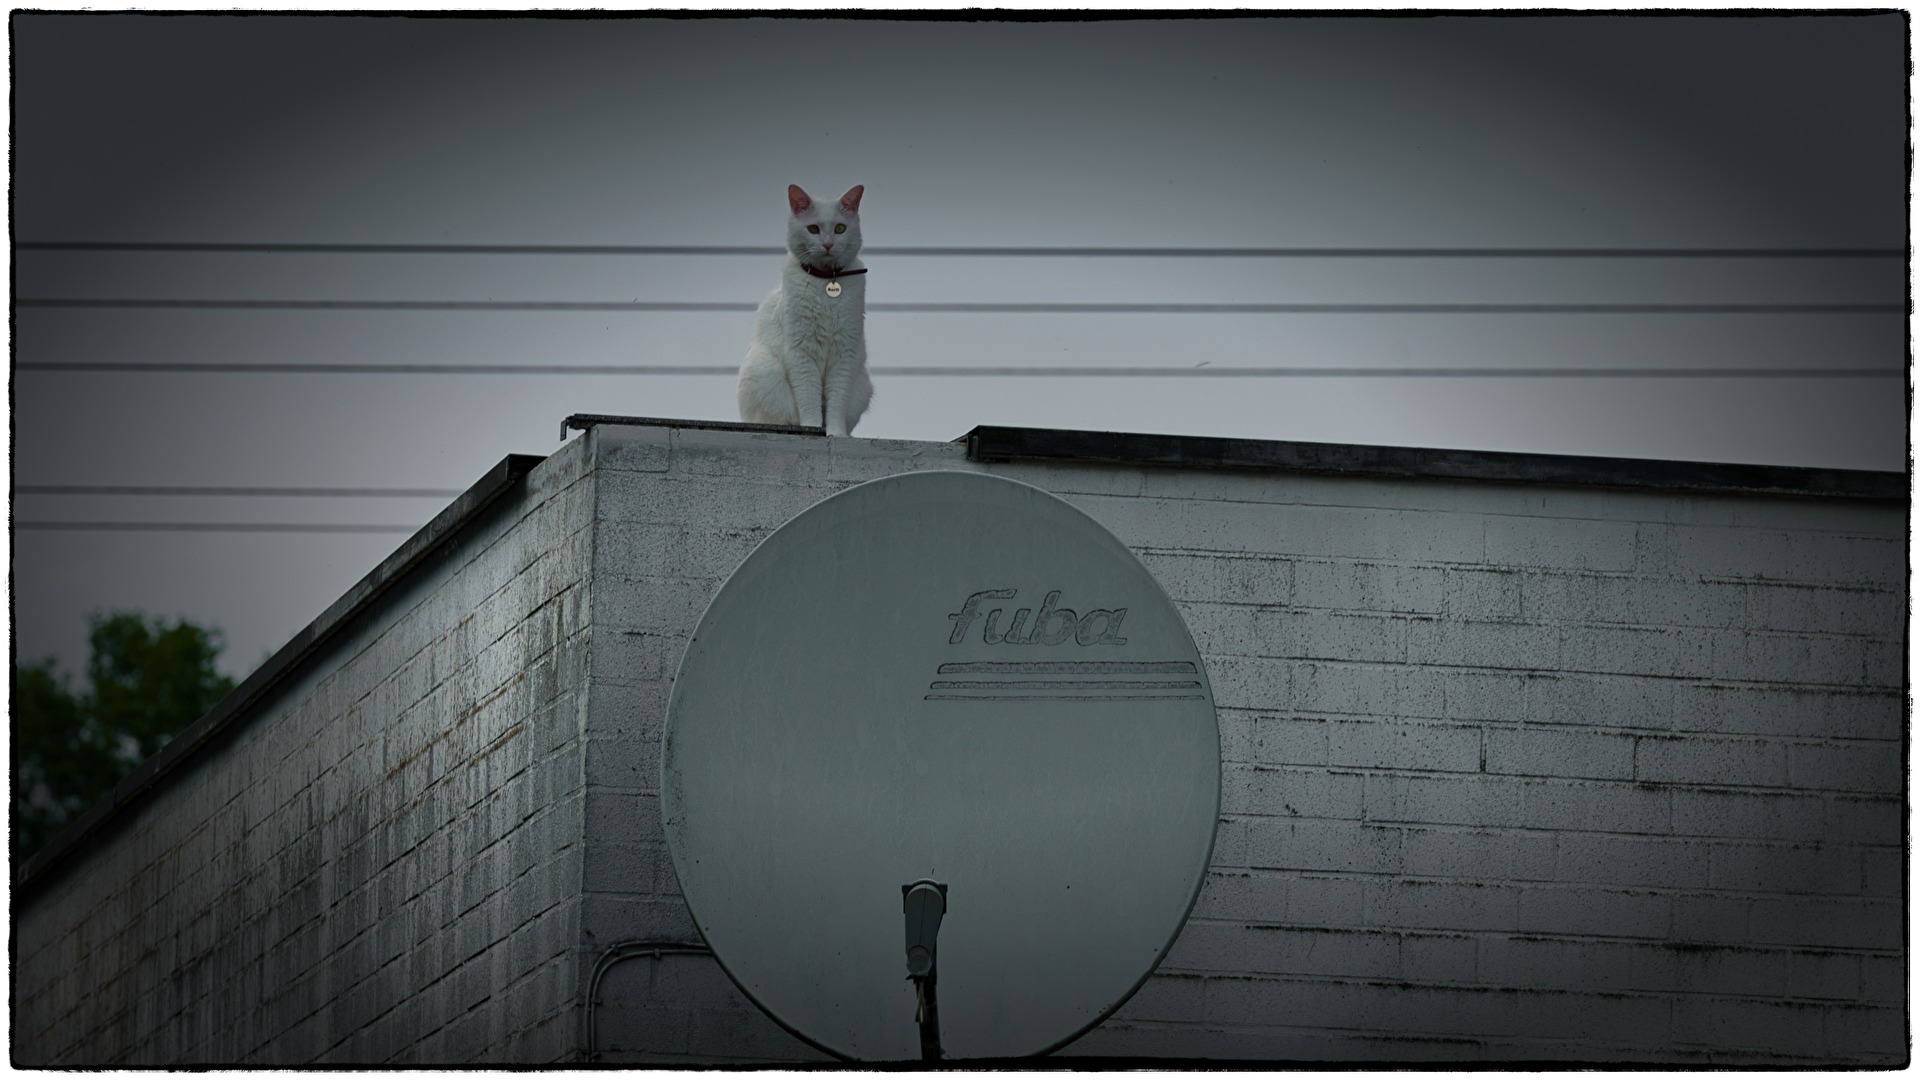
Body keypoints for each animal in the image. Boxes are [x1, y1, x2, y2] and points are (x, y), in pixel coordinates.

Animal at [733, 182, 879, 434]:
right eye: (813, 229)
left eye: (840, 228)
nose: (828, 244)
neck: (827, 281)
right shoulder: (802, 352)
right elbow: (809, 399)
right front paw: (812, 427)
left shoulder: (844, 354)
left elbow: (836, 404)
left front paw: (836, 433)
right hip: (762, 371)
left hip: (862, 384)